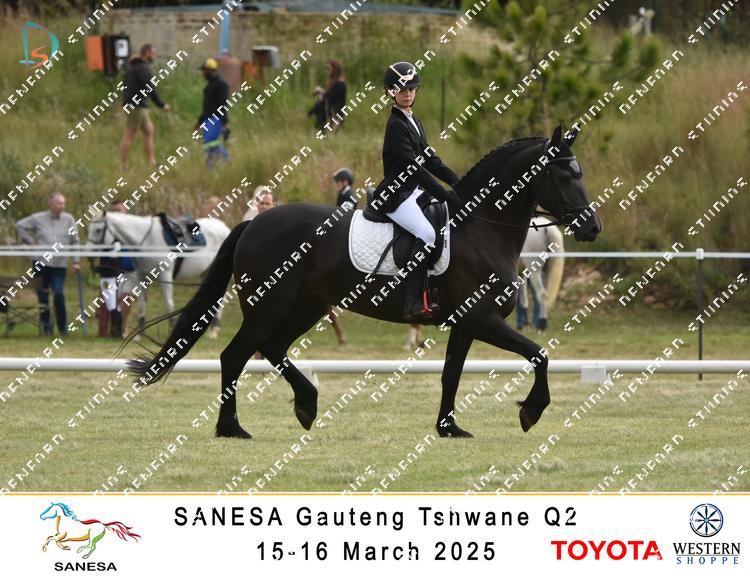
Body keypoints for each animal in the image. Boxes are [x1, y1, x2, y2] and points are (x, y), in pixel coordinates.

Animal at [86, 211, 231, 336]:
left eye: (98, 230)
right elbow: (142, 303)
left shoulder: (165, 276)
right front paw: (140, 332)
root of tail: (225, 228)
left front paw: (171, 328)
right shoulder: (142, 276)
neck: (148, 241)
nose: (89, 254)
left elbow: (168, 302)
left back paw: (214, 328)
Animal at [127, 124, 602, 439]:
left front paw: (448, 428)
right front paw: (531, 412)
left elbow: (451, 374)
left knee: (273, 349)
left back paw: (306, 405)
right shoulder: (483, 319)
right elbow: (539, 355)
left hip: (306, 306)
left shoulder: (467, 324)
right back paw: (232, 428)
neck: (482, 229)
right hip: (269, 305)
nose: (592, 227)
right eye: (566, 175)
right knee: (236, 355)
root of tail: (253, 223)